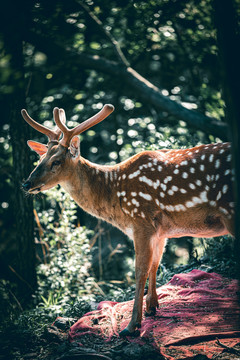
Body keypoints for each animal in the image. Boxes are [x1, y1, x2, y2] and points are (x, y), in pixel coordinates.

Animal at [21, 105, 235, 338]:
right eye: (40, 159)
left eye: (56, 161)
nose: (26, 183)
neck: (115, 196)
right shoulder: (161, 230)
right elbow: (155, 264)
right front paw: (152, 307)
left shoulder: (141, 222)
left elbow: (140, 271)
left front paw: (132, 325)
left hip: (231, 211)